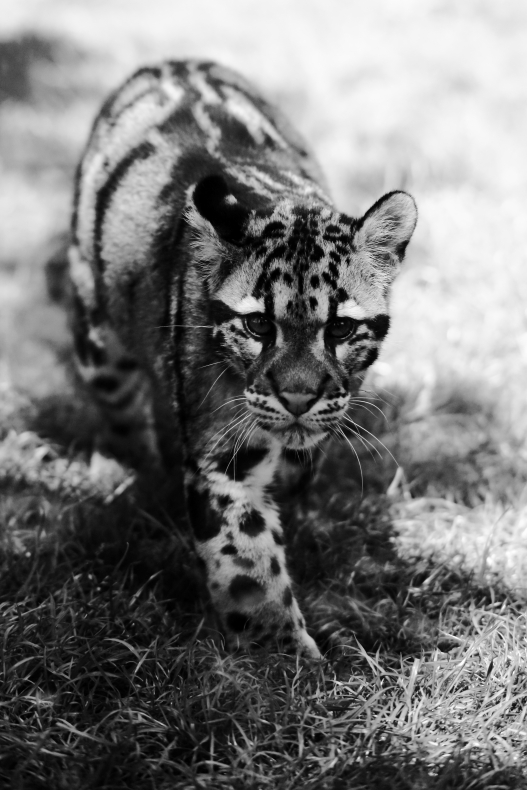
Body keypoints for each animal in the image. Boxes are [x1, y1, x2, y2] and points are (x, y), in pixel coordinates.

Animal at [68, 59, 417, 658]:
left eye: (340, 327)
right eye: (258, 325)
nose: (297, 397)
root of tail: (170, 60)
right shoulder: (224, 456)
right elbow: (248, 568)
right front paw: (287, 664)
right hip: (98, 337)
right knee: (122, 413)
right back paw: (135, 478)